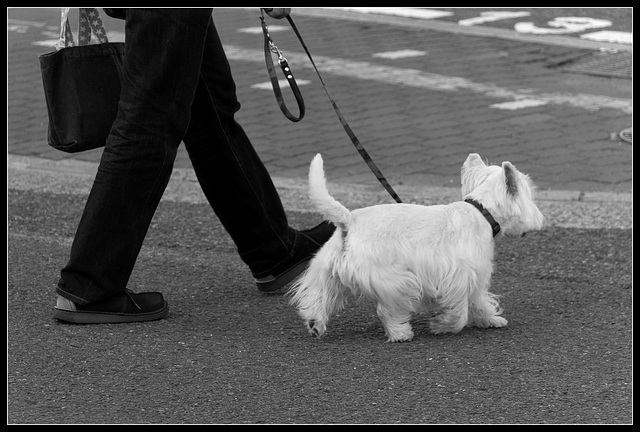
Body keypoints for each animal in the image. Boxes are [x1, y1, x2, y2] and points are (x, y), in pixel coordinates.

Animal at [290, 154, 544, 342]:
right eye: (530, 195)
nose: (541, 219)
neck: (482, 212)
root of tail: (349, 221)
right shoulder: (459, 276)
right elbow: (460, 311)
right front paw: (442, 325)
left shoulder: (476, 276)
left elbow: (479, 300)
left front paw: (490, 320)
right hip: (396, 280)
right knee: (386, 310)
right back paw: (401, 334)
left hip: (330, 272)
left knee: (319, 296)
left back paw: (315, 324)